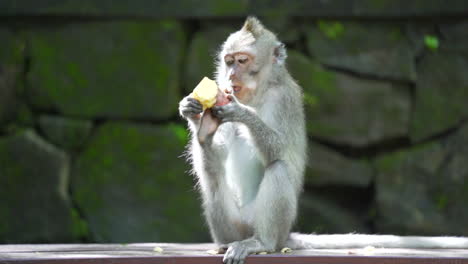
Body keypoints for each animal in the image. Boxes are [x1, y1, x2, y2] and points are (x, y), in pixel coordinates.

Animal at [178, 17, 468, 264]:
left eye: (242, 60)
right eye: (228, 61)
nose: (231, 76)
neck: (259, 93)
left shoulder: (284, 99)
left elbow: (280, 151)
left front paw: (241, 113)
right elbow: (219, 151)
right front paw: (200, 122)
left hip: (270, 222)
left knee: (278, 168)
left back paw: (262, 242)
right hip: (234, 224)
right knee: (213, 179)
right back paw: (226, 242)